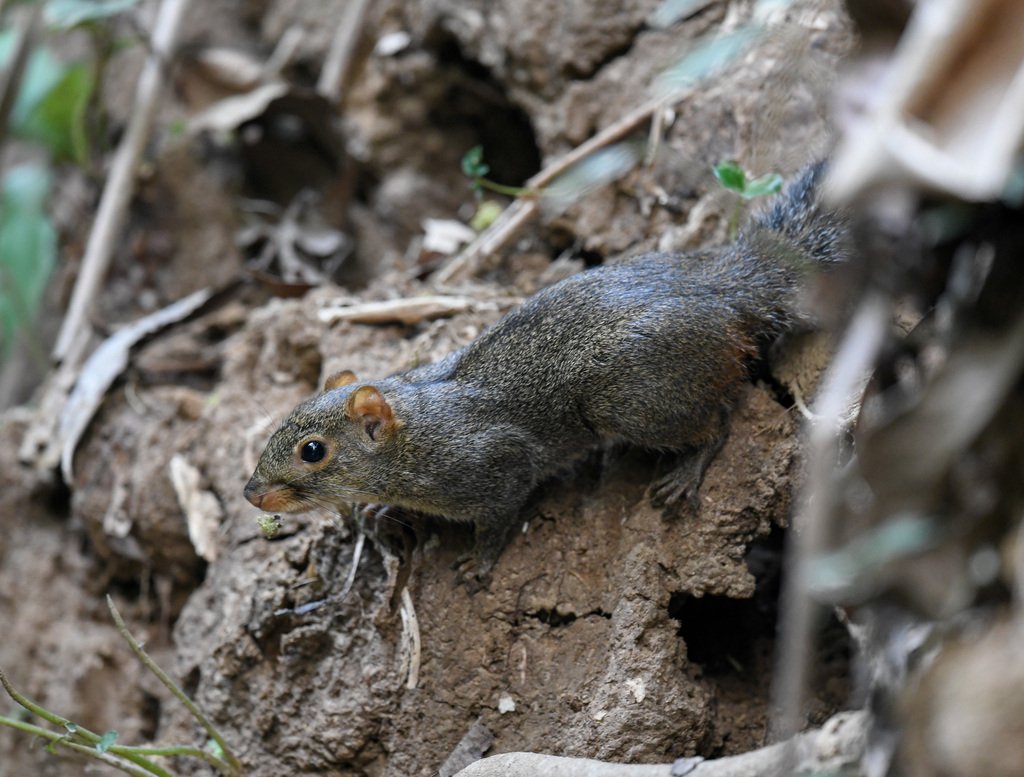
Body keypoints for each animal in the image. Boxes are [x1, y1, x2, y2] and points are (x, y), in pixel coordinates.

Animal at [244, 162, 847, 584]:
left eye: (313, 451)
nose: (251, 494)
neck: (417, 434)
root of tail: (726, 291)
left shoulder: (494, 465)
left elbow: (498, 518)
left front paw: (479, 562)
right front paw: (376, 508)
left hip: (630, 401)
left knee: (720, 418)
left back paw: (686, 472)